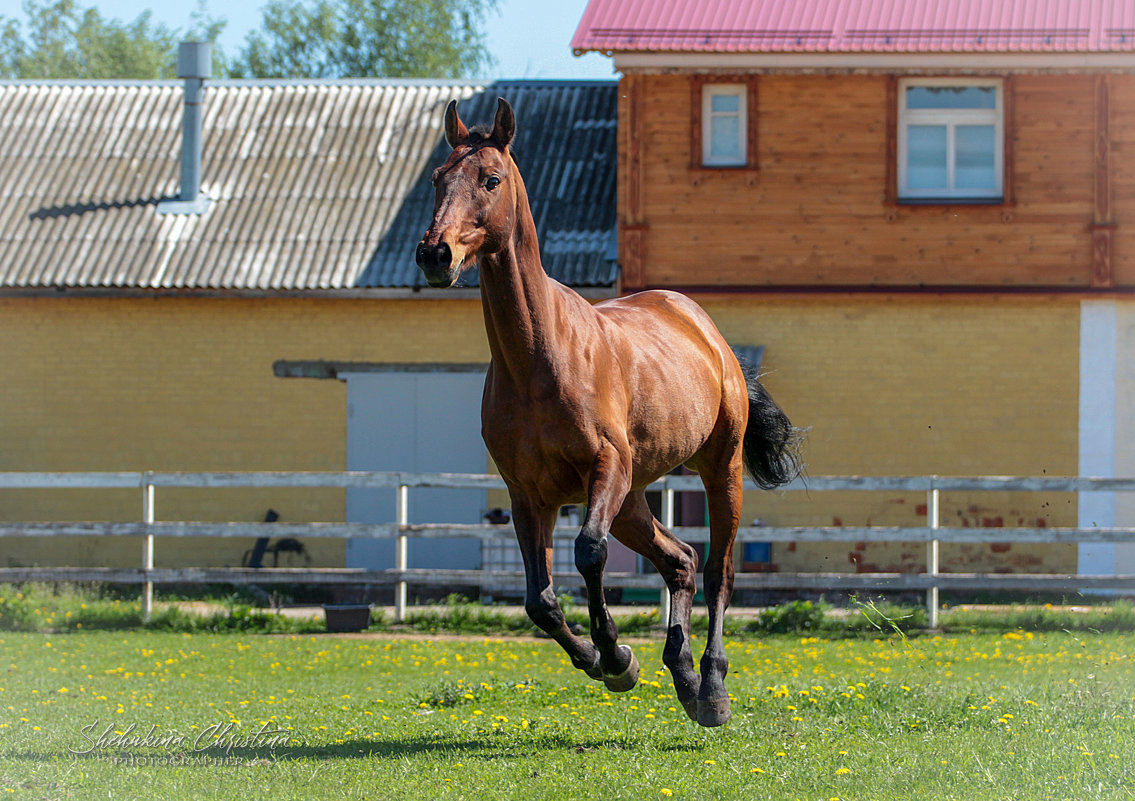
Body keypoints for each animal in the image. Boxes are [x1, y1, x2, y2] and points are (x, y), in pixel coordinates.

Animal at [415, 98, 799, 726]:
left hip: (717, 469)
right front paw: (605, 661)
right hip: (632, 500)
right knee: (681, 561)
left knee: (716, 570)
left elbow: (589, 553)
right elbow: (540, 600)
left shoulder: (605, 469)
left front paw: (617, 655)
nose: (434, 254)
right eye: (437, 179)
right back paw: (683, 675)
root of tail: (706, 330)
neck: (540, 358)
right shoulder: (528, 495)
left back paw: (712, 688)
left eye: (490, 179)